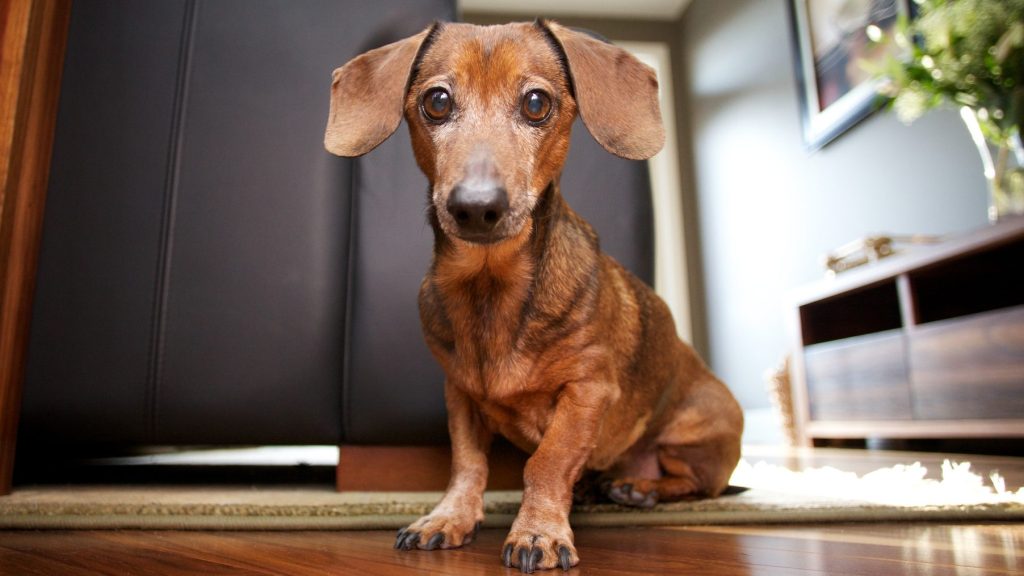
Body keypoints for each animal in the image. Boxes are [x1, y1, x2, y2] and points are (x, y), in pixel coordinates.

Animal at [323, 20, 741, 569]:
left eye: (537, 103)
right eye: (436, 101)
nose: (476, 207)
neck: (490, 288)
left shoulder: (587, 390)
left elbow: (548, 460)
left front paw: (538, 532)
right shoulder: (460, 395)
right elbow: (467, 464)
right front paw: (449, 518)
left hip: (694, 435)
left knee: (693, 483)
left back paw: (638, 488)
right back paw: (599, 487)